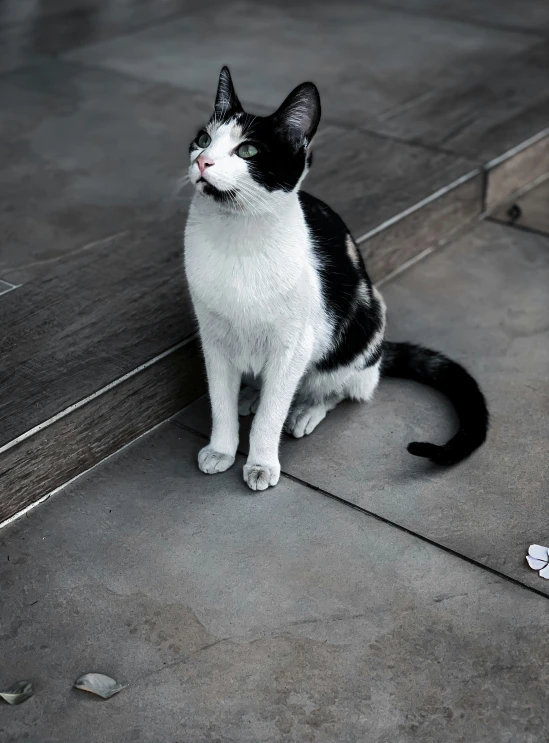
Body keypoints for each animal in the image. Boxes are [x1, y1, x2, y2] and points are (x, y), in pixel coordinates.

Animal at [184, 67, 488, 492]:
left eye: (248, 152)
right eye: (203, 140)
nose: (203, 162)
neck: (238, 237)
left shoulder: (293, 344)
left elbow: (272, 415)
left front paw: (261, 462)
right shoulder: (214, 340)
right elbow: (220, 404)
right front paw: (222, 449)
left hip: (361, 326)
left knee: (344, 387)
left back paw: (305, 409)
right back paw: (252, 396)